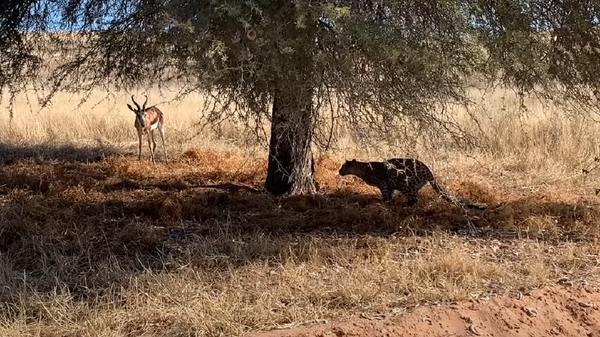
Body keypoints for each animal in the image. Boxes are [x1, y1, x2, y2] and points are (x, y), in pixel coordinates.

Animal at [338, 158, 488, 207]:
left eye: (343, 166)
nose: (339, 171)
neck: (362, 169)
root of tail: (429, 172)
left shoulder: (384, 184)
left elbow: (386, 196)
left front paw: (383, 203)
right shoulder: (390, 186)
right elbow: (389, 195)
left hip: (404, 181)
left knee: (414, 198)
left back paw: (405, 205)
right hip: (413, 185)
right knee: (415, 197)